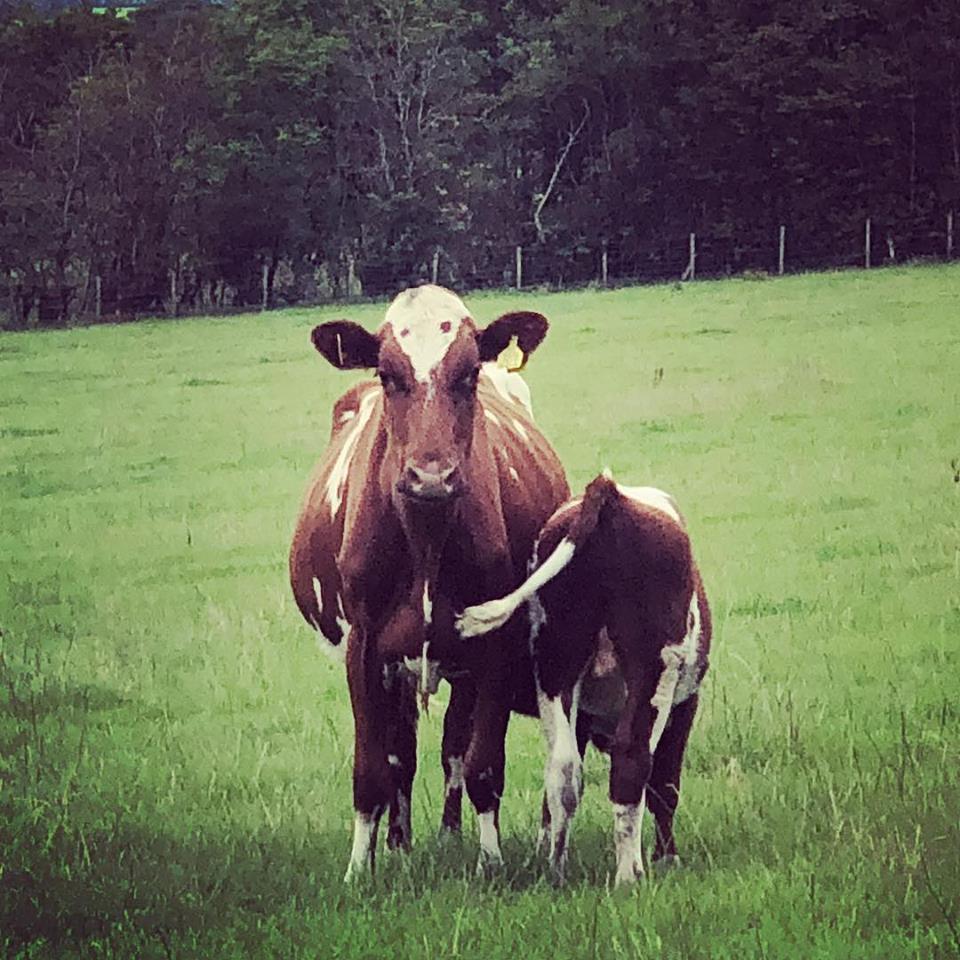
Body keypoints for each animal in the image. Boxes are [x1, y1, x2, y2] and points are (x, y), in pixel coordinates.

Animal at [289, 284, 569, 881]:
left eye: (468, 373)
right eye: (387, 373)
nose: (430, 476)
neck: (425, 537)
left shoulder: (492, 644)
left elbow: (481, 763)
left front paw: (489, 860)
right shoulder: (364, 648)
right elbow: (372, 767)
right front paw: (359, 869)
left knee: (451, 748)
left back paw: (446, 835)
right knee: (402, 751)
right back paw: (398, 842)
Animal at [457, 471, 711, 886]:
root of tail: (610, 495)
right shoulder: (685, 703)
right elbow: (665, 785)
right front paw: (666, 857)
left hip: (556, 663)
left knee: (562, 767)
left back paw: (556, 867)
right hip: (654, 670)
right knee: (631, 760)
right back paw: (628, 875)